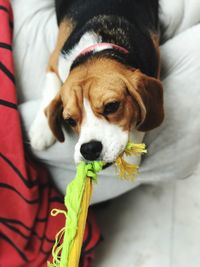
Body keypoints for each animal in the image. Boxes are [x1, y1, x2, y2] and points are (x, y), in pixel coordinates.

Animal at [29, 0, 164, 163]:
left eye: (112, 106)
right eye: (70, 120)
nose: (89, 149)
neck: (97, 50)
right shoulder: (55, 60)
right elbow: (51, 85)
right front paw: (41, 130)